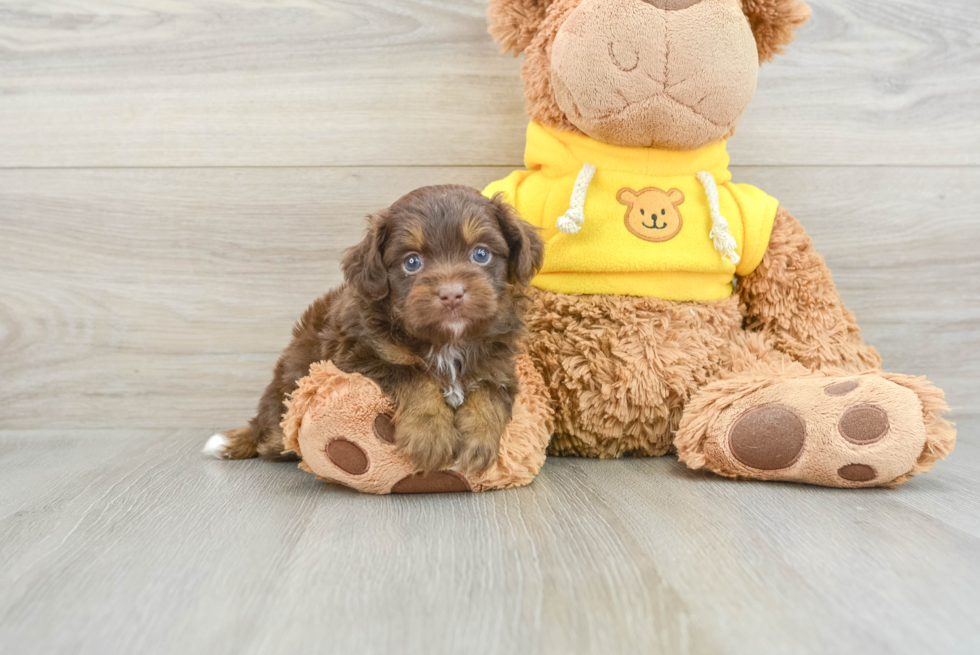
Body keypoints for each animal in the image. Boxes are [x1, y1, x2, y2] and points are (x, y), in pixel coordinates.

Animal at [204, 184, 548, 476]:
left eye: (481, 254)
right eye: (412, 262)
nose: (451, 294)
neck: (446, 340)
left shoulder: (497, 362)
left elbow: (489, 394)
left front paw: (479, 442)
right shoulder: (360, 355)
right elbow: (414, 375)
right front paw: (430, 435)